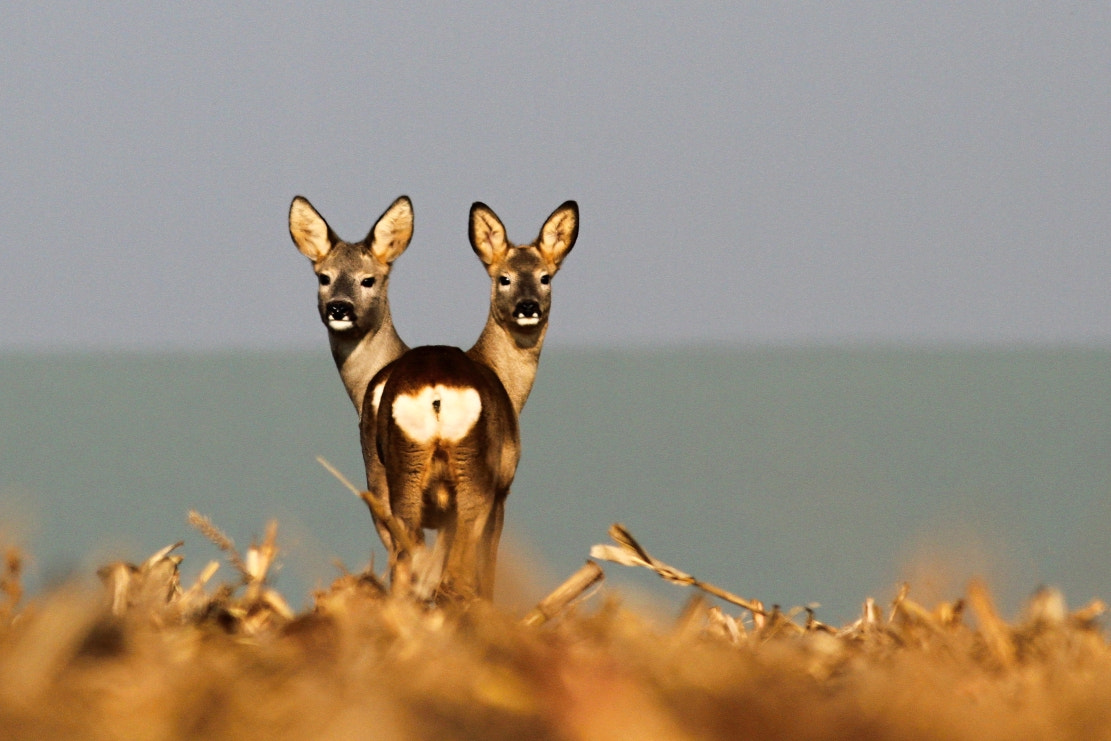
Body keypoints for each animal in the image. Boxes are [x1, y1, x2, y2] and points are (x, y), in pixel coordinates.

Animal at [366, 199, 582, 599]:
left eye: (545, 277)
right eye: (504, 278)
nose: (527, 306)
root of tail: (435, 389)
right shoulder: (502, 489)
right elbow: (488, 567)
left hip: (403, 476)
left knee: (407, 562)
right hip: (473, 480)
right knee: (458, 572)